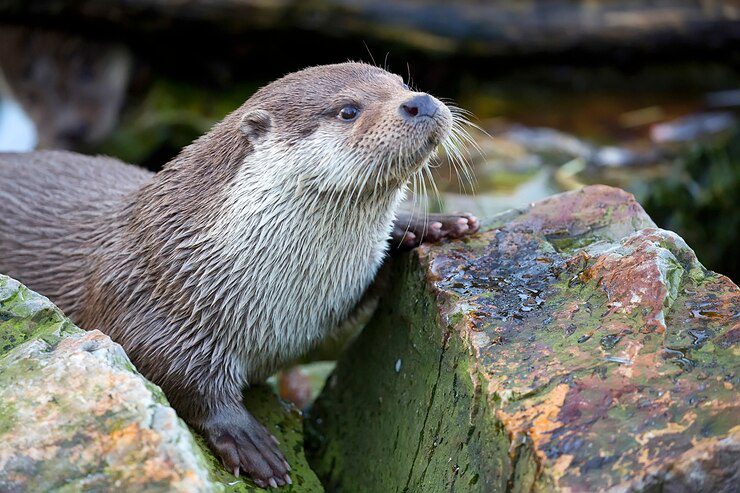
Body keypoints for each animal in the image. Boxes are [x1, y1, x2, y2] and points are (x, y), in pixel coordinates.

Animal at [0, 63, 478, 488]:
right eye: (348, 110)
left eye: (401, 82)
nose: (420, 101)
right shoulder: (149, 299)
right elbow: (172, 370)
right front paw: (248, 441)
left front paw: (431, 224)